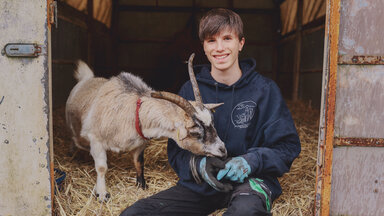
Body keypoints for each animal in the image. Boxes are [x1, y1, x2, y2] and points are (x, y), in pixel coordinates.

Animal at [65, 53, 226, 202]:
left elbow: (139, 162)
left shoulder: (140, 143)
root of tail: (87, 78)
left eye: (212, 123)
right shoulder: (96, 140)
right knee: (76, 139)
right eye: (195, 132)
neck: (132, 110)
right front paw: (102, 193)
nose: (223, 150)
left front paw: (141, 184)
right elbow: (101, 168)